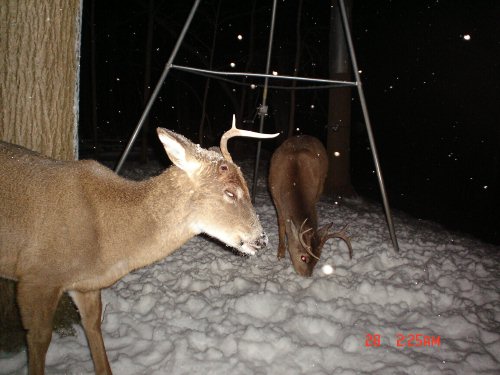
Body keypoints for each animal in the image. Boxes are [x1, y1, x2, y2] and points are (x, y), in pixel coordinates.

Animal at [0, 116, 278, 374]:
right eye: (230, 192)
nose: (262, 239)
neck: (107, 241)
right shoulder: (37, 278)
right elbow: (39, 340)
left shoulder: (85, 285)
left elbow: (94, 328)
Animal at [268, 135, 354, 276]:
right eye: (303, 257)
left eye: (317, 259)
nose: (307, 276)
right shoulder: (275, 197)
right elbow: (281, 226)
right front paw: (280, 254)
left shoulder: (315, 194)